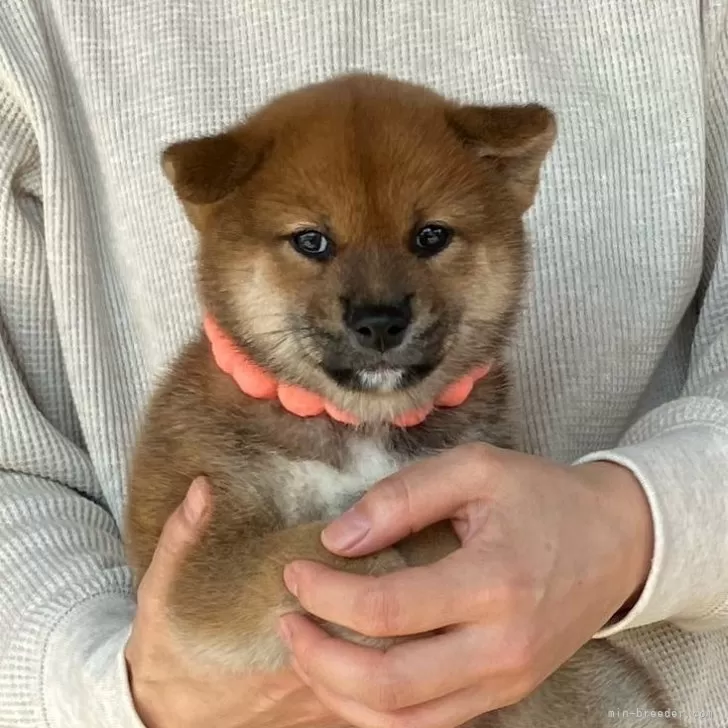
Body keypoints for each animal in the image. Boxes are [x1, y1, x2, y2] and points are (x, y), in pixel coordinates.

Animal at [125, 75, 676, 728]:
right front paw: (382, 575)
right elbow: (297, 552)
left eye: (431, 236)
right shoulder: (193, 562)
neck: (360, 426)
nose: (381, 320)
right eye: (312, 241)